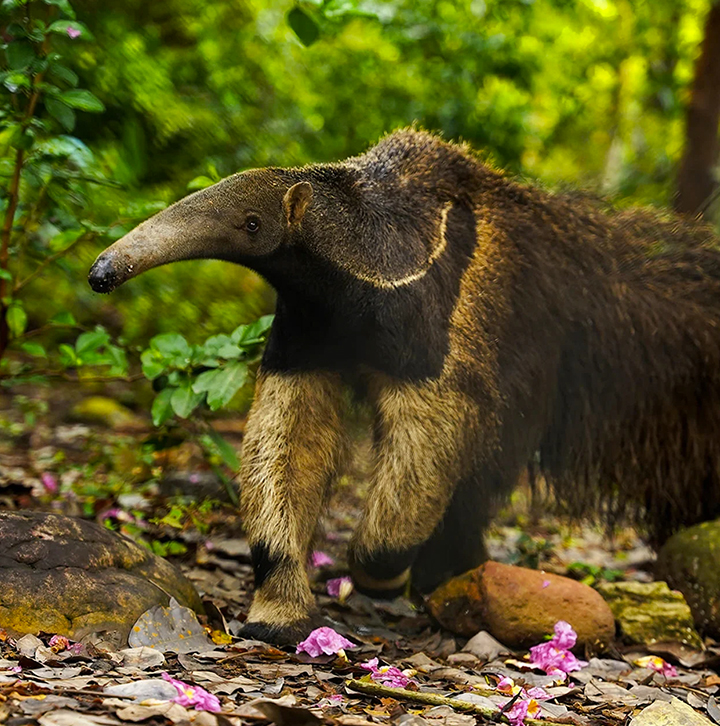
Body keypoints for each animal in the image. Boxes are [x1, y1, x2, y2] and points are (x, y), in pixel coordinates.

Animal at [89, 129, 720, 644]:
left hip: (530, 357)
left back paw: (450, 572)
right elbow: (289, 434)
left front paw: (377, 569)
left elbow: (434, 429)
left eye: (250, 223)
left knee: (481, 473)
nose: (103, 273)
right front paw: (281, 612)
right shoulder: (307, 330)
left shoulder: (443, 316)